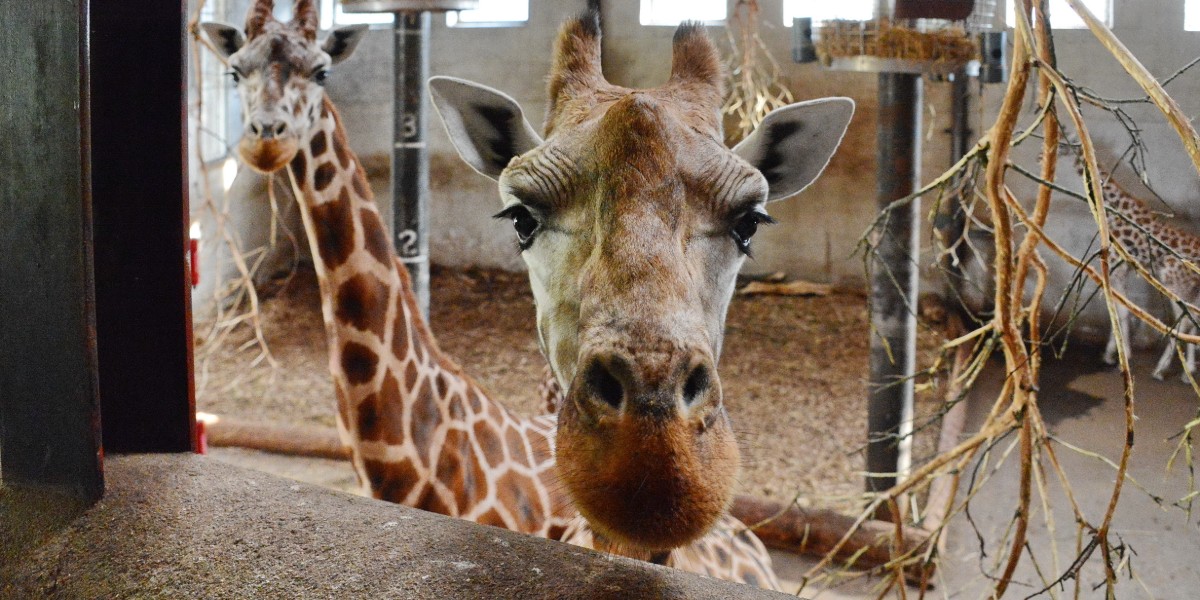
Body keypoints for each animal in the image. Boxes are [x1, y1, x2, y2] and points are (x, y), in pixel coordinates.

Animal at [1062, 142, 1200, 381]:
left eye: (1062, 144)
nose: (1039, 156)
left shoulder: (1115, 266)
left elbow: (1121, 310)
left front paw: (1119, 356)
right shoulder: (1121, 269)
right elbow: (1119, 308)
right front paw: (1114, 353)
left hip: (1175, 287)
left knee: (1183, 322)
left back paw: (1161, 370)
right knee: (1192, 321)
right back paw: (1186, 373)